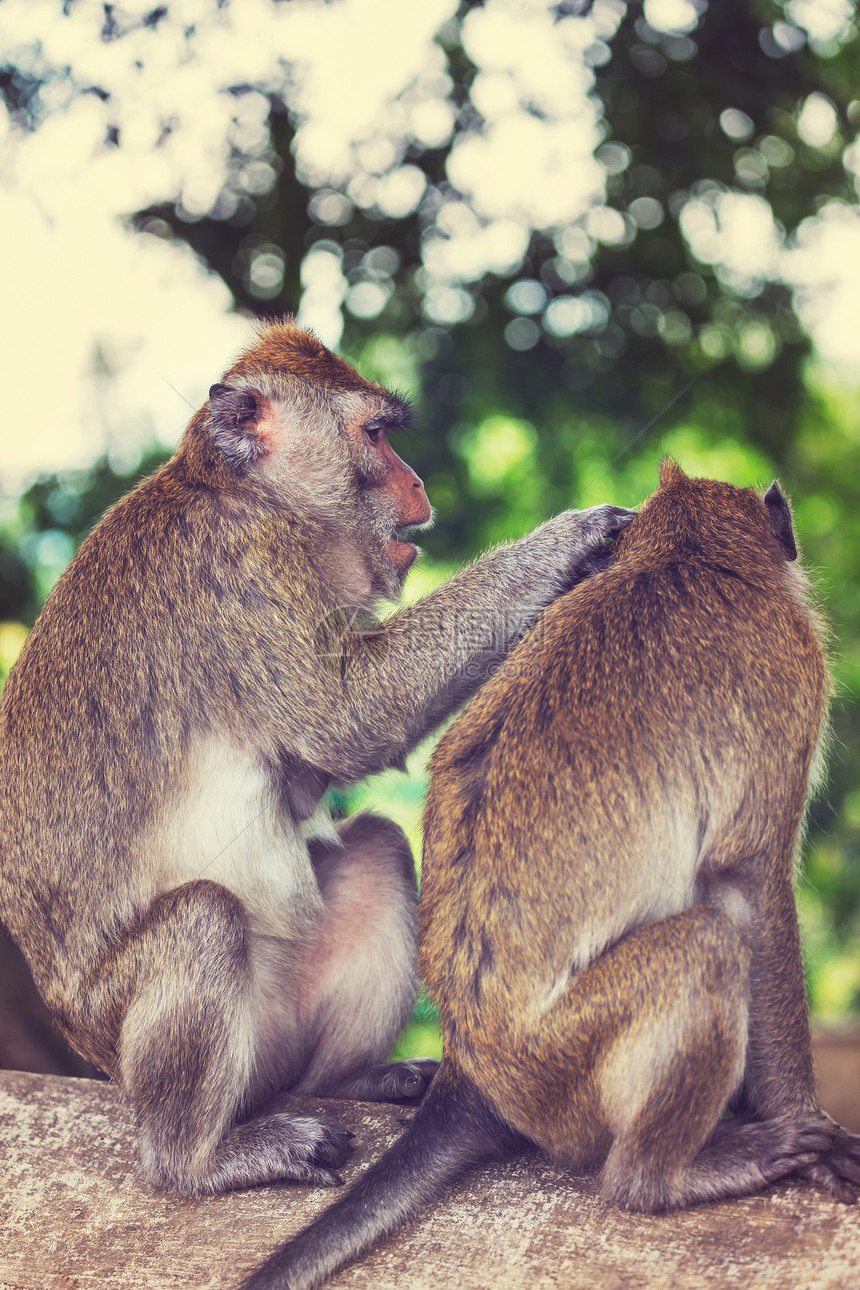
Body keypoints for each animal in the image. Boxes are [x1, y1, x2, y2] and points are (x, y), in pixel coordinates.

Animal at [0, 317, 629, 1191]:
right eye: (376, 436)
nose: (419, 484)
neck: (237, 492)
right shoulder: (243, 572)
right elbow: (350, 718)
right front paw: (570, 541)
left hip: (282, 1034)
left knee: (378, 848)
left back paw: (352, 1079)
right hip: (133, 1034)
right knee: (204, 918)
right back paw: (200, 1159)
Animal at [244, 461, 860, 1290]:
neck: (685, 556)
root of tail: (472, 1074)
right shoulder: (791, 676)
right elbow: (752, 886)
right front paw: (809, 1122)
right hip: (563, 1070)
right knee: (705, 945)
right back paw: (660, 1177)